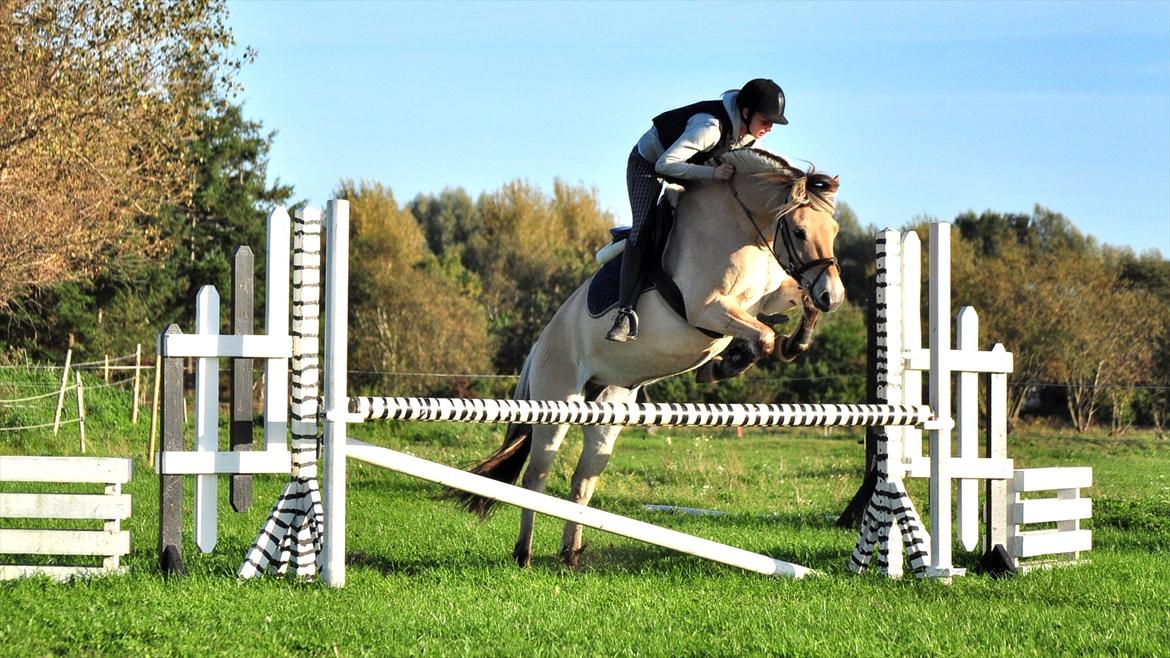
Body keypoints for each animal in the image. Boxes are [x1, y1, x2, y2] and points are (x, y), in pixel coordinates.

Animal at [453, 147, 842, 564]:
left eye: (835, 231)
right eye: (800, 232)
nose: (833, 296)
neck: (739, 224)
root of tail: (539, 346)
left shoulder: (765, 298)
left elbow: (793, 308)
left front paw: (792, 342)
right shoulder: (707, 310)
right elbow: (764, 335)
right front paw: (726, 365)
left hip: (606, 413)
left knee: (582, 482)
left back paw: (570, 555)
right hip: (555, 406)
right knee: (536, 478)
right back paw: (523, 554)